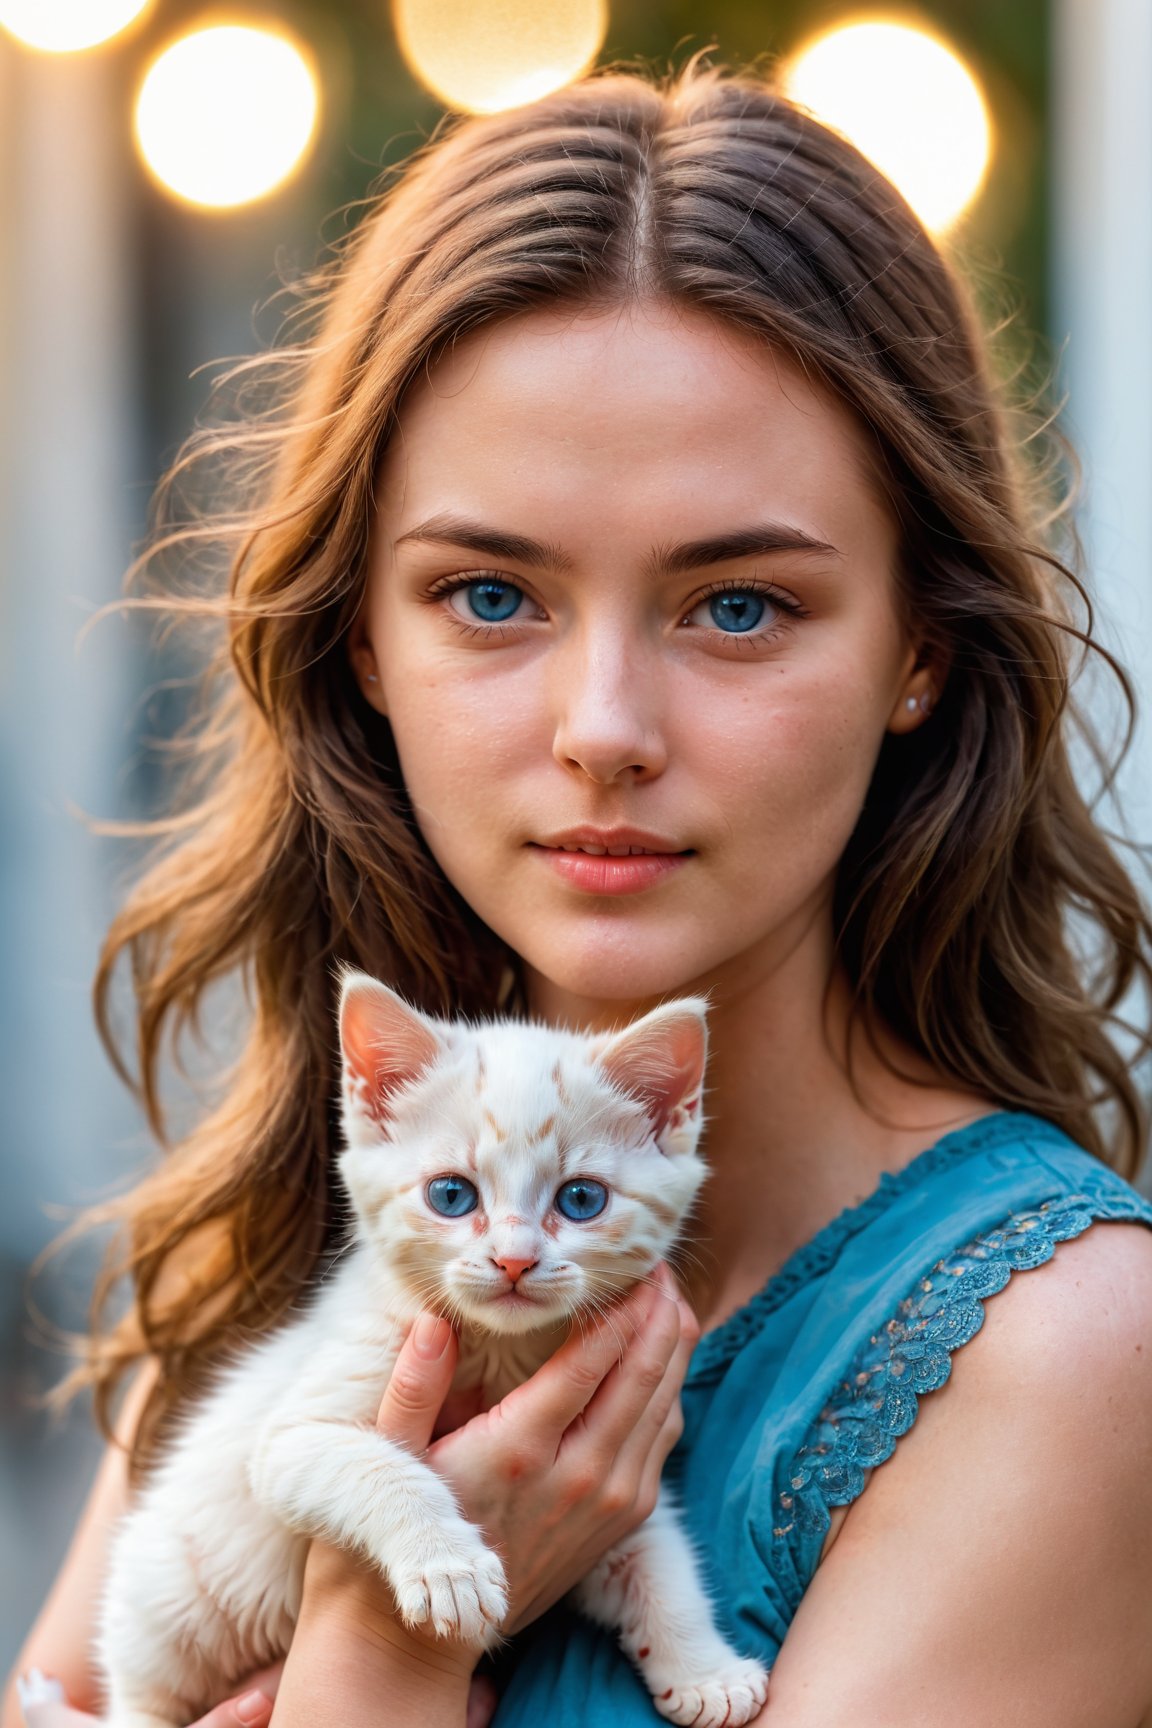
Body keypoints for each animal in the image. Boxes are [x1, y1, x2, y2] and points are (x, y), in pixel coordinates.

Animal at [96, 974, 766, 1728]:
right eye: (451, 1195)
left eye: (581, 1199)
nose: (514, 1259)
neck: (498, 1353)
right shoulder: (293, 1436)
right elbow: (381, 1468)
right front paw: (448, 1569)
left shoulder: (604, 1501)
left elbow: (657, 1551)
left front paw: (707, 1669)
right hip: (160, 1618)